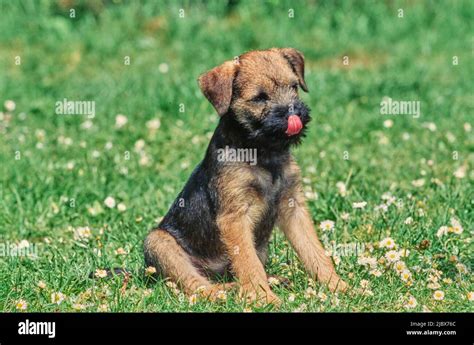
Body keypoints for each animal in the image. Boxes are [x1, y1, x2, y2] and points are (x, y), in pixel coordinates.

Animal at [143, 48, 346, 304]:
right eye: (259, 97)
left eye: (294, 86)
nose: (295, 114)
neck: (263, 152)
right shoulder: (235, 217)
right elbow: (248, 262)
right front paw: (264, 299)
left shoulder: (294, 206)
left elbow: (315, 251)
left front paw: (340, 286)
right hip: (159, 242)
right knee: (196, 284)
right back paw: (225, 292)